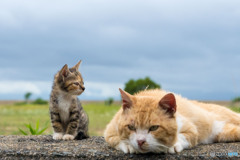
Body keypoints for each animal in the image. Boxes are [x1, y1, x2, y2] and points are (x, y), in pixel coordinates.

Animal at [104, 89, 240, 154]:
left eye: (154, 128)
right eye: (131, 127)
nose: (140, 141)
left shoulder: (192, 130)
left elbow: (183, 137)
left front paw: (172, 145)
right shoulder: (109, 132)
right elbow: (116, 139)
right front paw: (129, 145)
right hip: (224, 133)